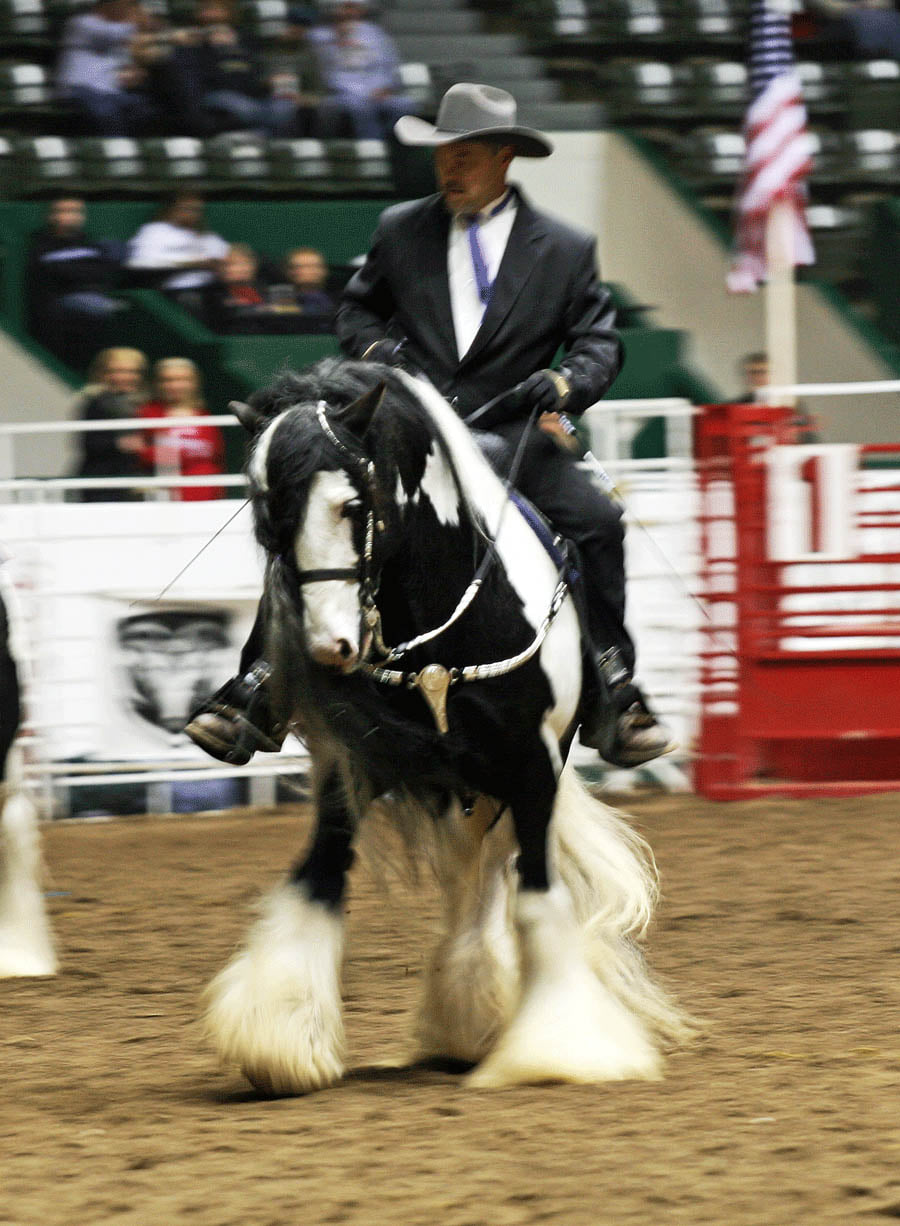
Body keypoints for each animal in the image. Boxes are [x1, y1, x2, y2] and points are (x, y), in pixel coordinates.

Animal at [203, 358, 686, 1094]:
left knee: (487, 881)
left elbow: (536, 899)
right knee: (468, 882)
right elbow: (317, 882)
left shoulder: (532, 765)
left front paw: (559, 1048)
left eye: (351, 506)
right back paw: (467, 1013)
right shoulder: (353, 762)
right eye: (269, 517)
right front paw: (278, 1039)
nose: (328, 648)